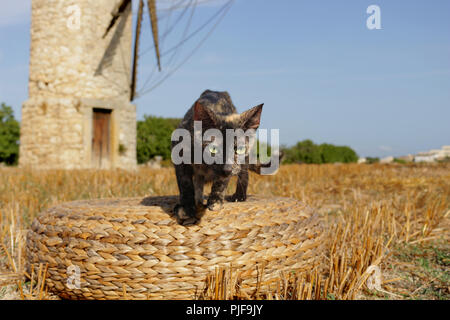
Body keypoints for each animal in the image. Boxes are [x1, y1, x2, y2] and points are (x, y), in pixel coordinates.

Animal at [171, 89, 272, 225]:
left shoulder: (230, 170)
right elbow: (185, 183)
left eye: (239, 149)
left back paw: (239, 196)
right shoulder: (179, 156)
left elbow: (221, 182)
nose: (227, 169)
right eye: (213, 149)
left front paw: (215, 201)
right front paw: (186, 207)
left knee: (244, 174)